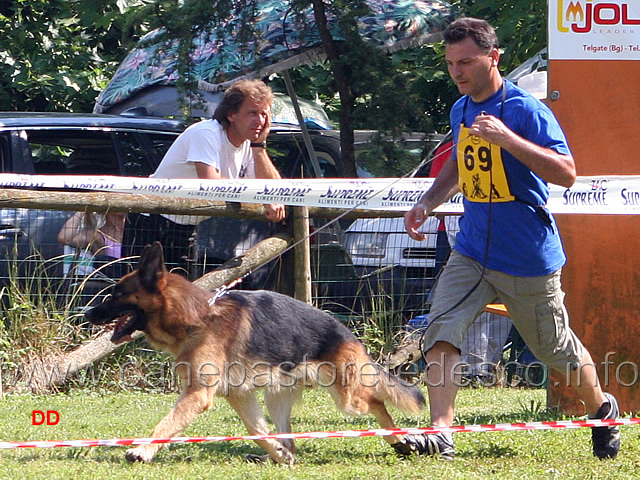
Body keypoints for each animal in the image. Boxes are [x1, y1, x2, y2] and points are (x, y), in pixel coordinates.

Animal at [85, 242, 424, 464]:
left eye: (116, 293)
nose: (88, 313)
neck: (197, 318)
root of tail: (345, 332)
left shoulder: (197, 394)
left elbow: (167, 423)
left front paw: (142, 450)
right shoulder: (238, 394)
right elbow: (256, 429)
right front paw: (276, 452)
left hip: (348, 398)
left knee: (378, 403)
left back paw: (400, 440)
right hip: (278, 398)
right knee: (289, 435)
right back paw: (283, 455)